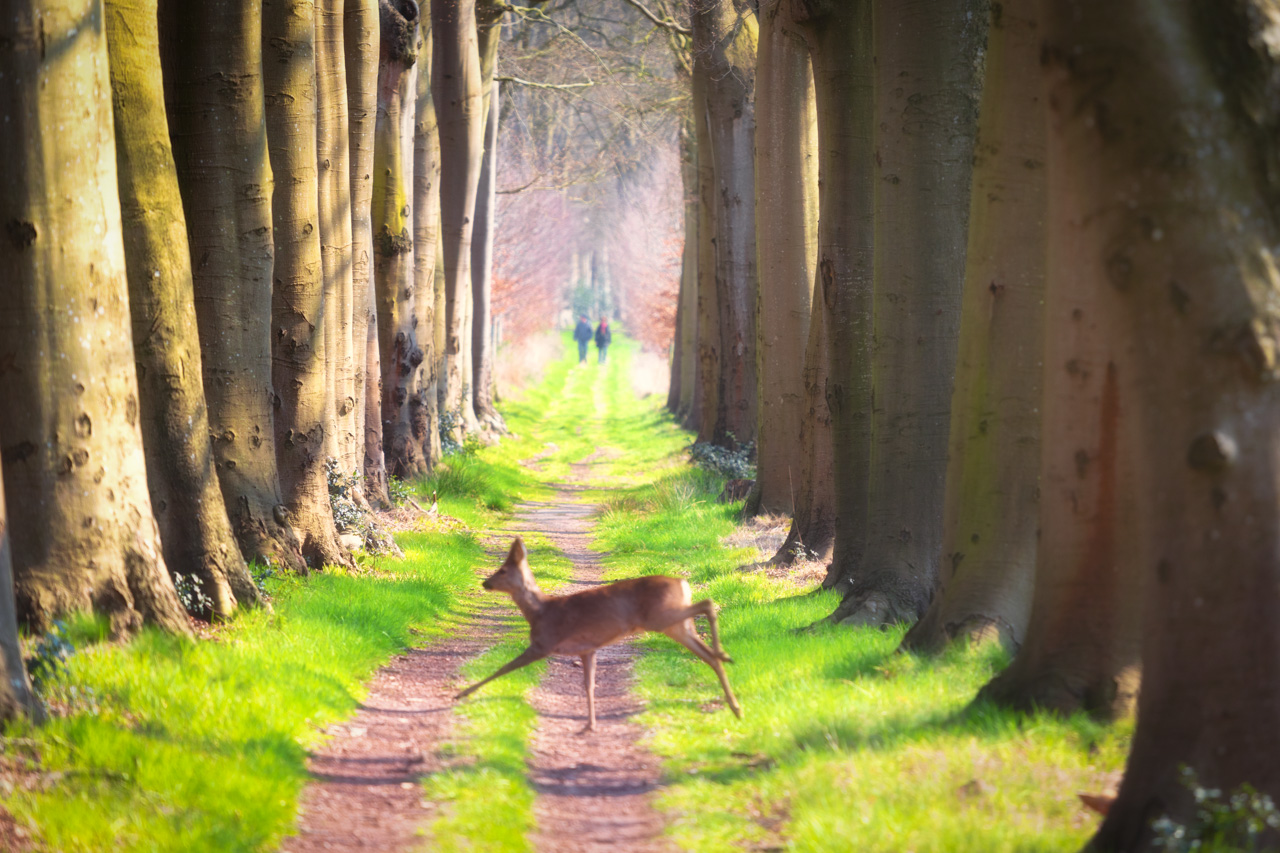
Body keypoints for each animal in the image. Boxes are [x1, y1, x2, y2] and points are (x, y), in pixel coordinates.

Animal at [458, 535, 742, 727]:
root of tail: (683, 583)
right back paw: (734, 701)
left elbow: (504, 667)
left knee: (707, 604)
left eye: (502, 570)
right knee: (708, 655)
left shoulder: (543, 643)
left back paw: (726, 661)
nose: (485, 583)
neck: (539, 612)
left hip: (660, 618)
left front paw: (462, 693)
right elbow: (589, 685)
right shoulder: (588, 649)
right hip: (675, 626)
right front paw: (590, 725)